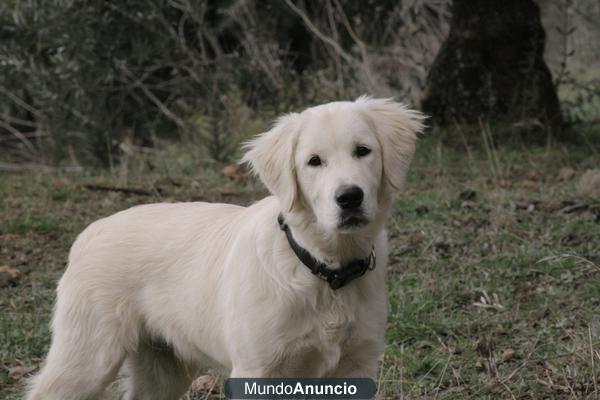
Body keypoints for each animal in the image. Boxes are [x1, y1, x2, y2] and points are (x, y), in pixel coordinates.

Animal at [25, 97, 424, 400]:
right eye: (314, 162)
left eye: (363, 151)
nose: (350, 198)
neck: (322, 269)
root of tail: (91, 230)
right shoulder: (257, 369)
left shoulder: (357, 366)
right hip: (86, 359)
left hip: (161, 372)